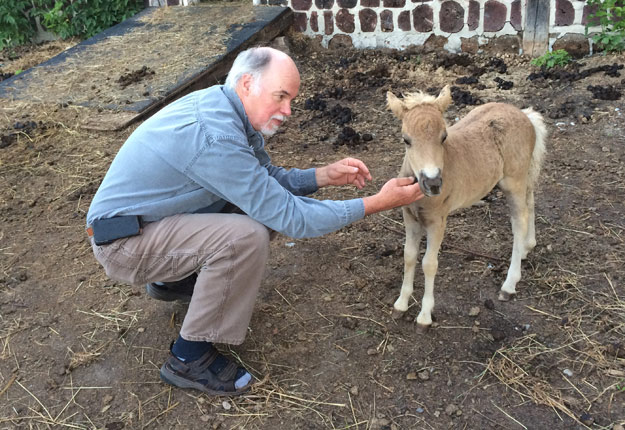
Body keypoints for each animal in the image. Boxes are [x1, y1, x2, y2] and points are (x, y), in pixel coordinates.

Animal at [386, 85, 544, 332]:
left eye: (443, 137)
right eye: (406, 140)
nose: (433, 183)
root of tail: (525, 115)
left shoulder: (437, 221)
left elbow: (429, 263)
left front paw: (424, 316)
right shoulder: (410, 217)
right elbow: (409, 256)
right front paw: (401, 304)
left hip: (514, 181)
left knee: (520, 220)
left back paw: (509, 284)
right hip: (522, 177)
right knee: (531, 202)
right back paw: (528, 247)